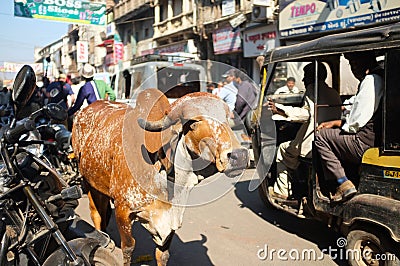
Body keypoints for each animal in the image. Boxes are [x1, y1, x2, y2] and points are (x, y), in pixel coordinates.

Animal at [71, 90, 247, 266]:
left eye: (226, 116)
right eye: (194, 122)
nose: (239, 156)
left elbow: (163, 254)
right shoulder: (123, 210)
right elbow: (128, 248)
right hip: (90, 183)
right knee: (97, 215)